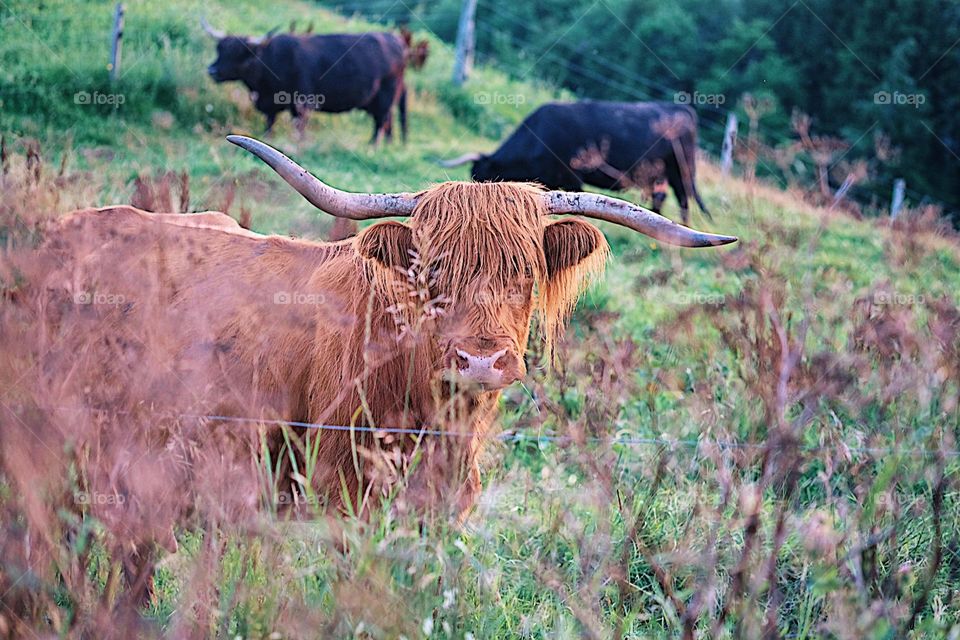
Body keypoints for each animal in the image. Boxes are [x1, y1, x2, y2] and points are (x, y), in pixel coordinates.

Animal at [201, 19, 410, 143]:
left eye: (238, 53)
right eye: (220, 49)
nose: (212, 70)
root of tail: (395, 40)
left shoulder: (302, 102)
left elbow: (299, 125)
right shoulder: (271, 104)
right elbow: (269, 122)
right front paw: (268, 138)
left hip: (386, 95)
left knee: (381, 121)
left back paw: (372, 145)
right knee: (387, 121)